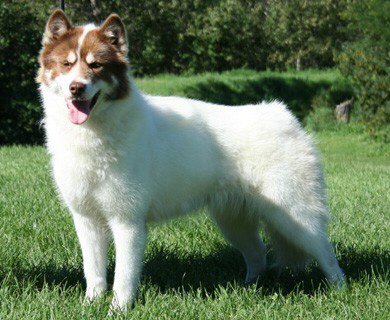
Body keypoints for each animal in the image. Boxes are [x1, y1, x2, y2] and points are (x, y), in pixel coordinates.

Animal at [36, 11, 344, 312]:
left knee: (327, 255)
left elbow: (123, 277)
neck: (93, 133)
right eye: (66, 64)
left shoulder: (128, 222)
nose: (77, 88)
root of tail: (284, 116)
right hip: (234, 221)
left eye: (96, 65)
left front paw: (118, 310)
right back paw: (249, 290)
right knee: (258, 254)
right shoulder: (87, 220)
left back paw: (339, 292)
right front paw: (90, 305)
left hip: (296, 218)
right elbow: (94, 272)